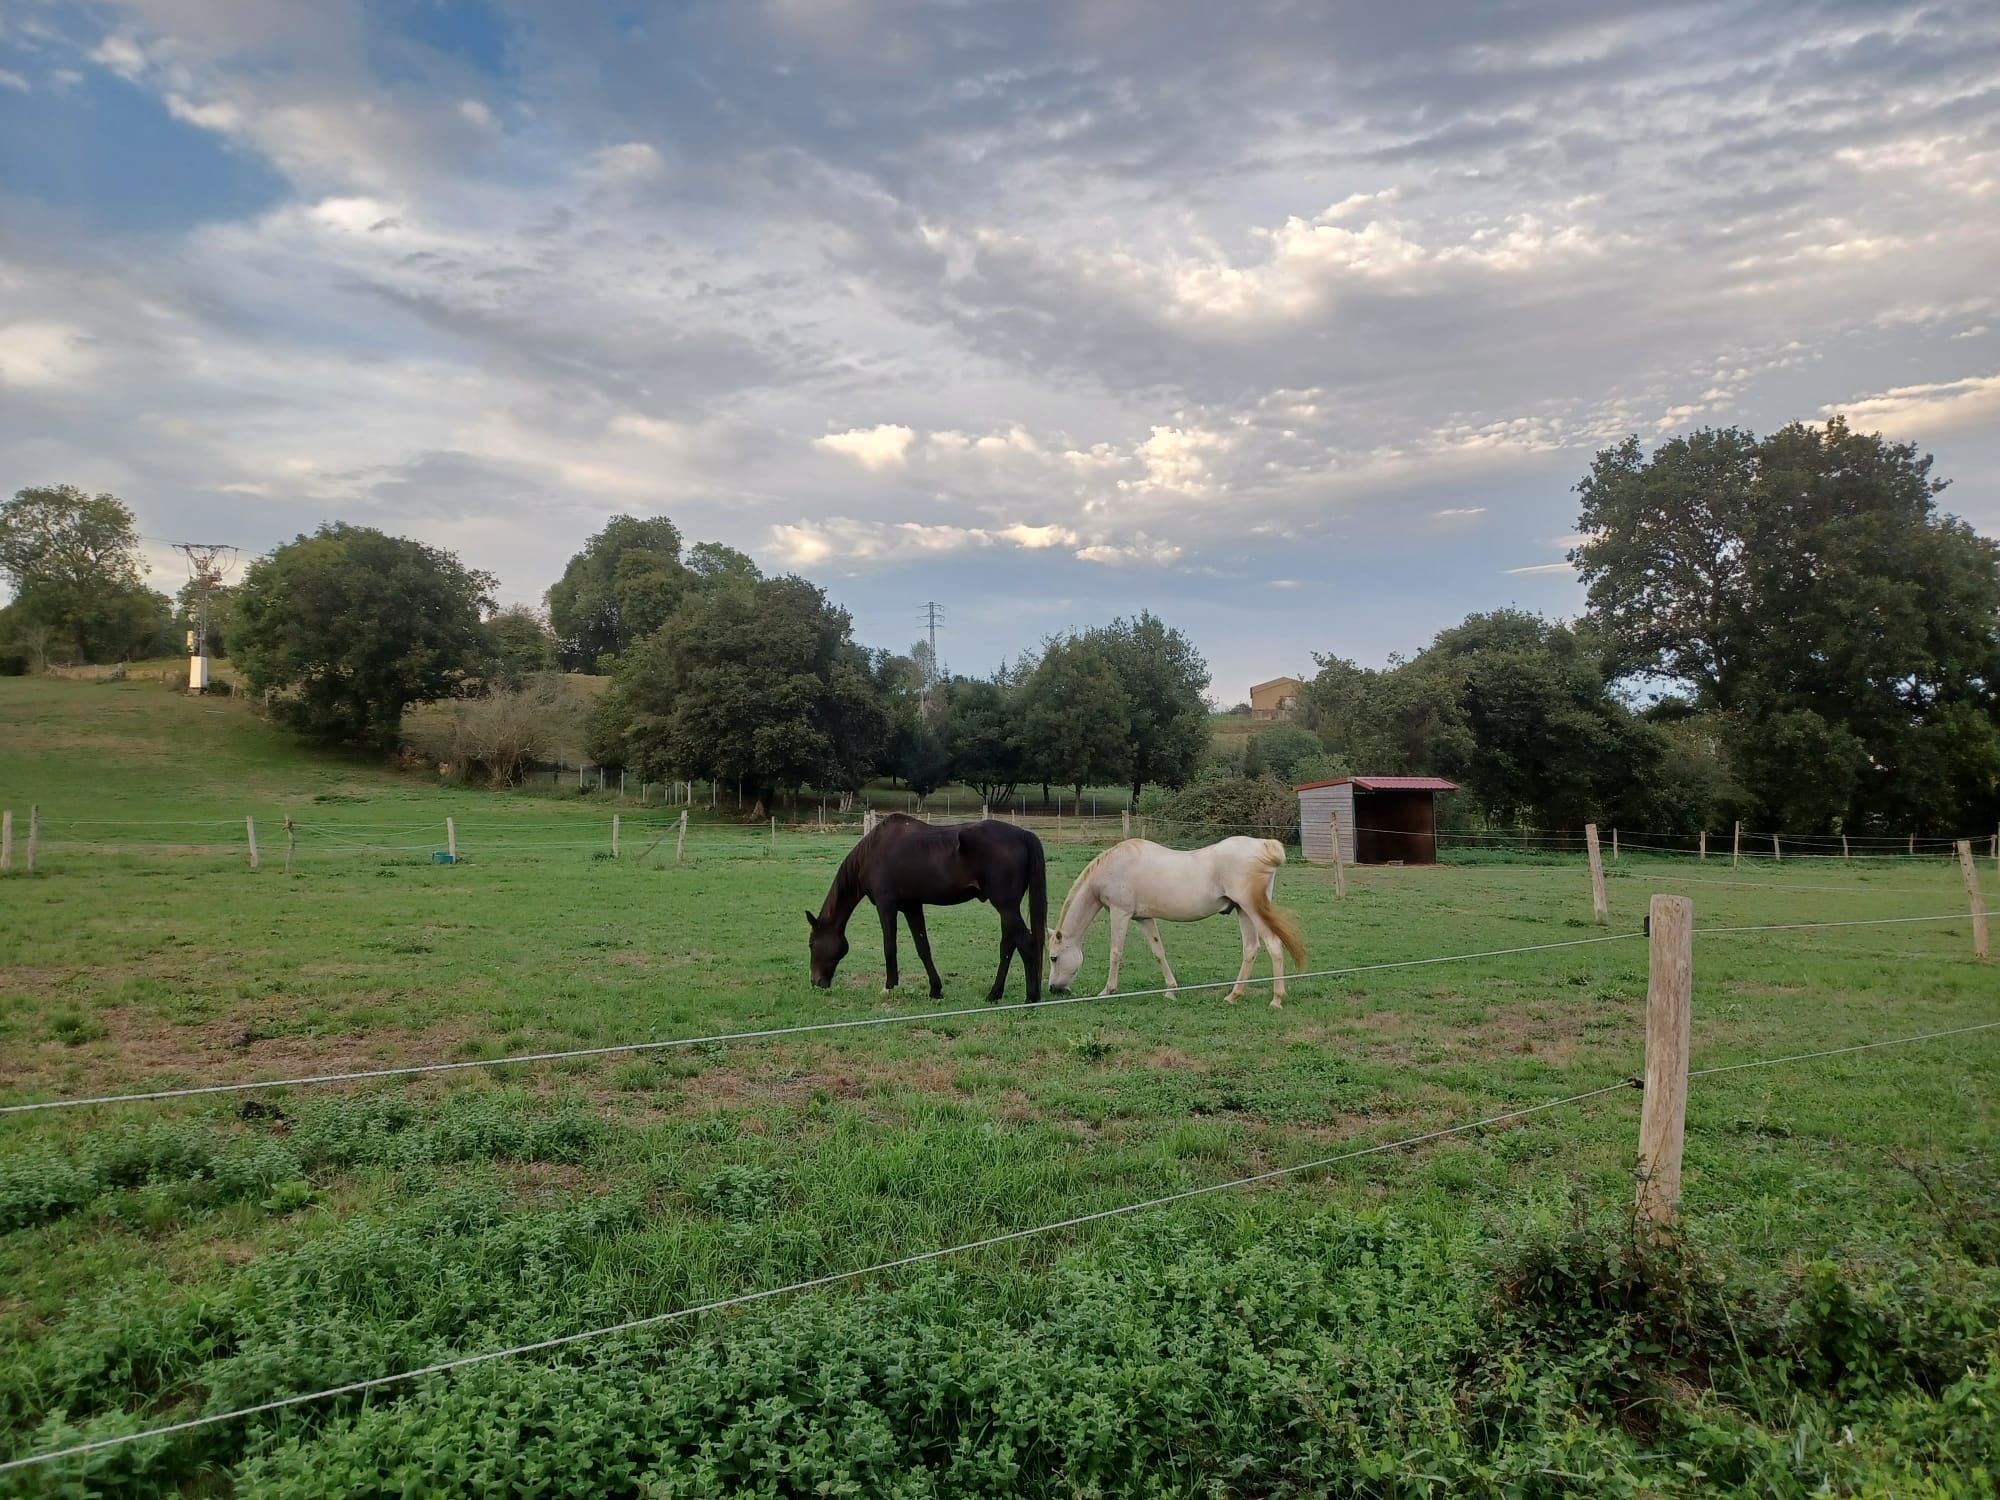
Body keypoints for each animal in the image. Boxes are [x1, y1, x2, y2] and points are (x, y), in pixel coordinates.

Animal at [804, 816, 1048, 1004]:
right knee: (1008, 945)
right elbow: (923, 948)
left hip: (1006, 907)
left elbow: (889, 946)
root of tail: (1023, 834)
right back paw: (995, 994)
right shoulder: (912, 906)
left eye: (812, 944)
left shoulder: (886, 904)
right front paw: (935, 990)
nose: (815, 982)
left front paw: (889, 987)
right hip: (1008, 909)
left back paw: (1030, 997)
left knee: (1025, 942)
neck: (873, 852)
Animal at [1048, 836, 1312, 1012]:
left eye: (1053, 957)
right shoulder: (1143, 918)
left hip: (1253, 910)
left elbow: (1115, 951)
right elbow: (1158, 952)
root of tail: (1264, 845)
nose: (1053, 989)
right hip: (1243, 911)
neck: (1114, 866)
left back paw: (1276, 999)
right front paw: (1171, 990)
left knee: (1274, 945)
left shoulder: (1119, 913)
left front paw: (1107, 990)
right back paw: (1233, 995)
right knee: (1250, 949)